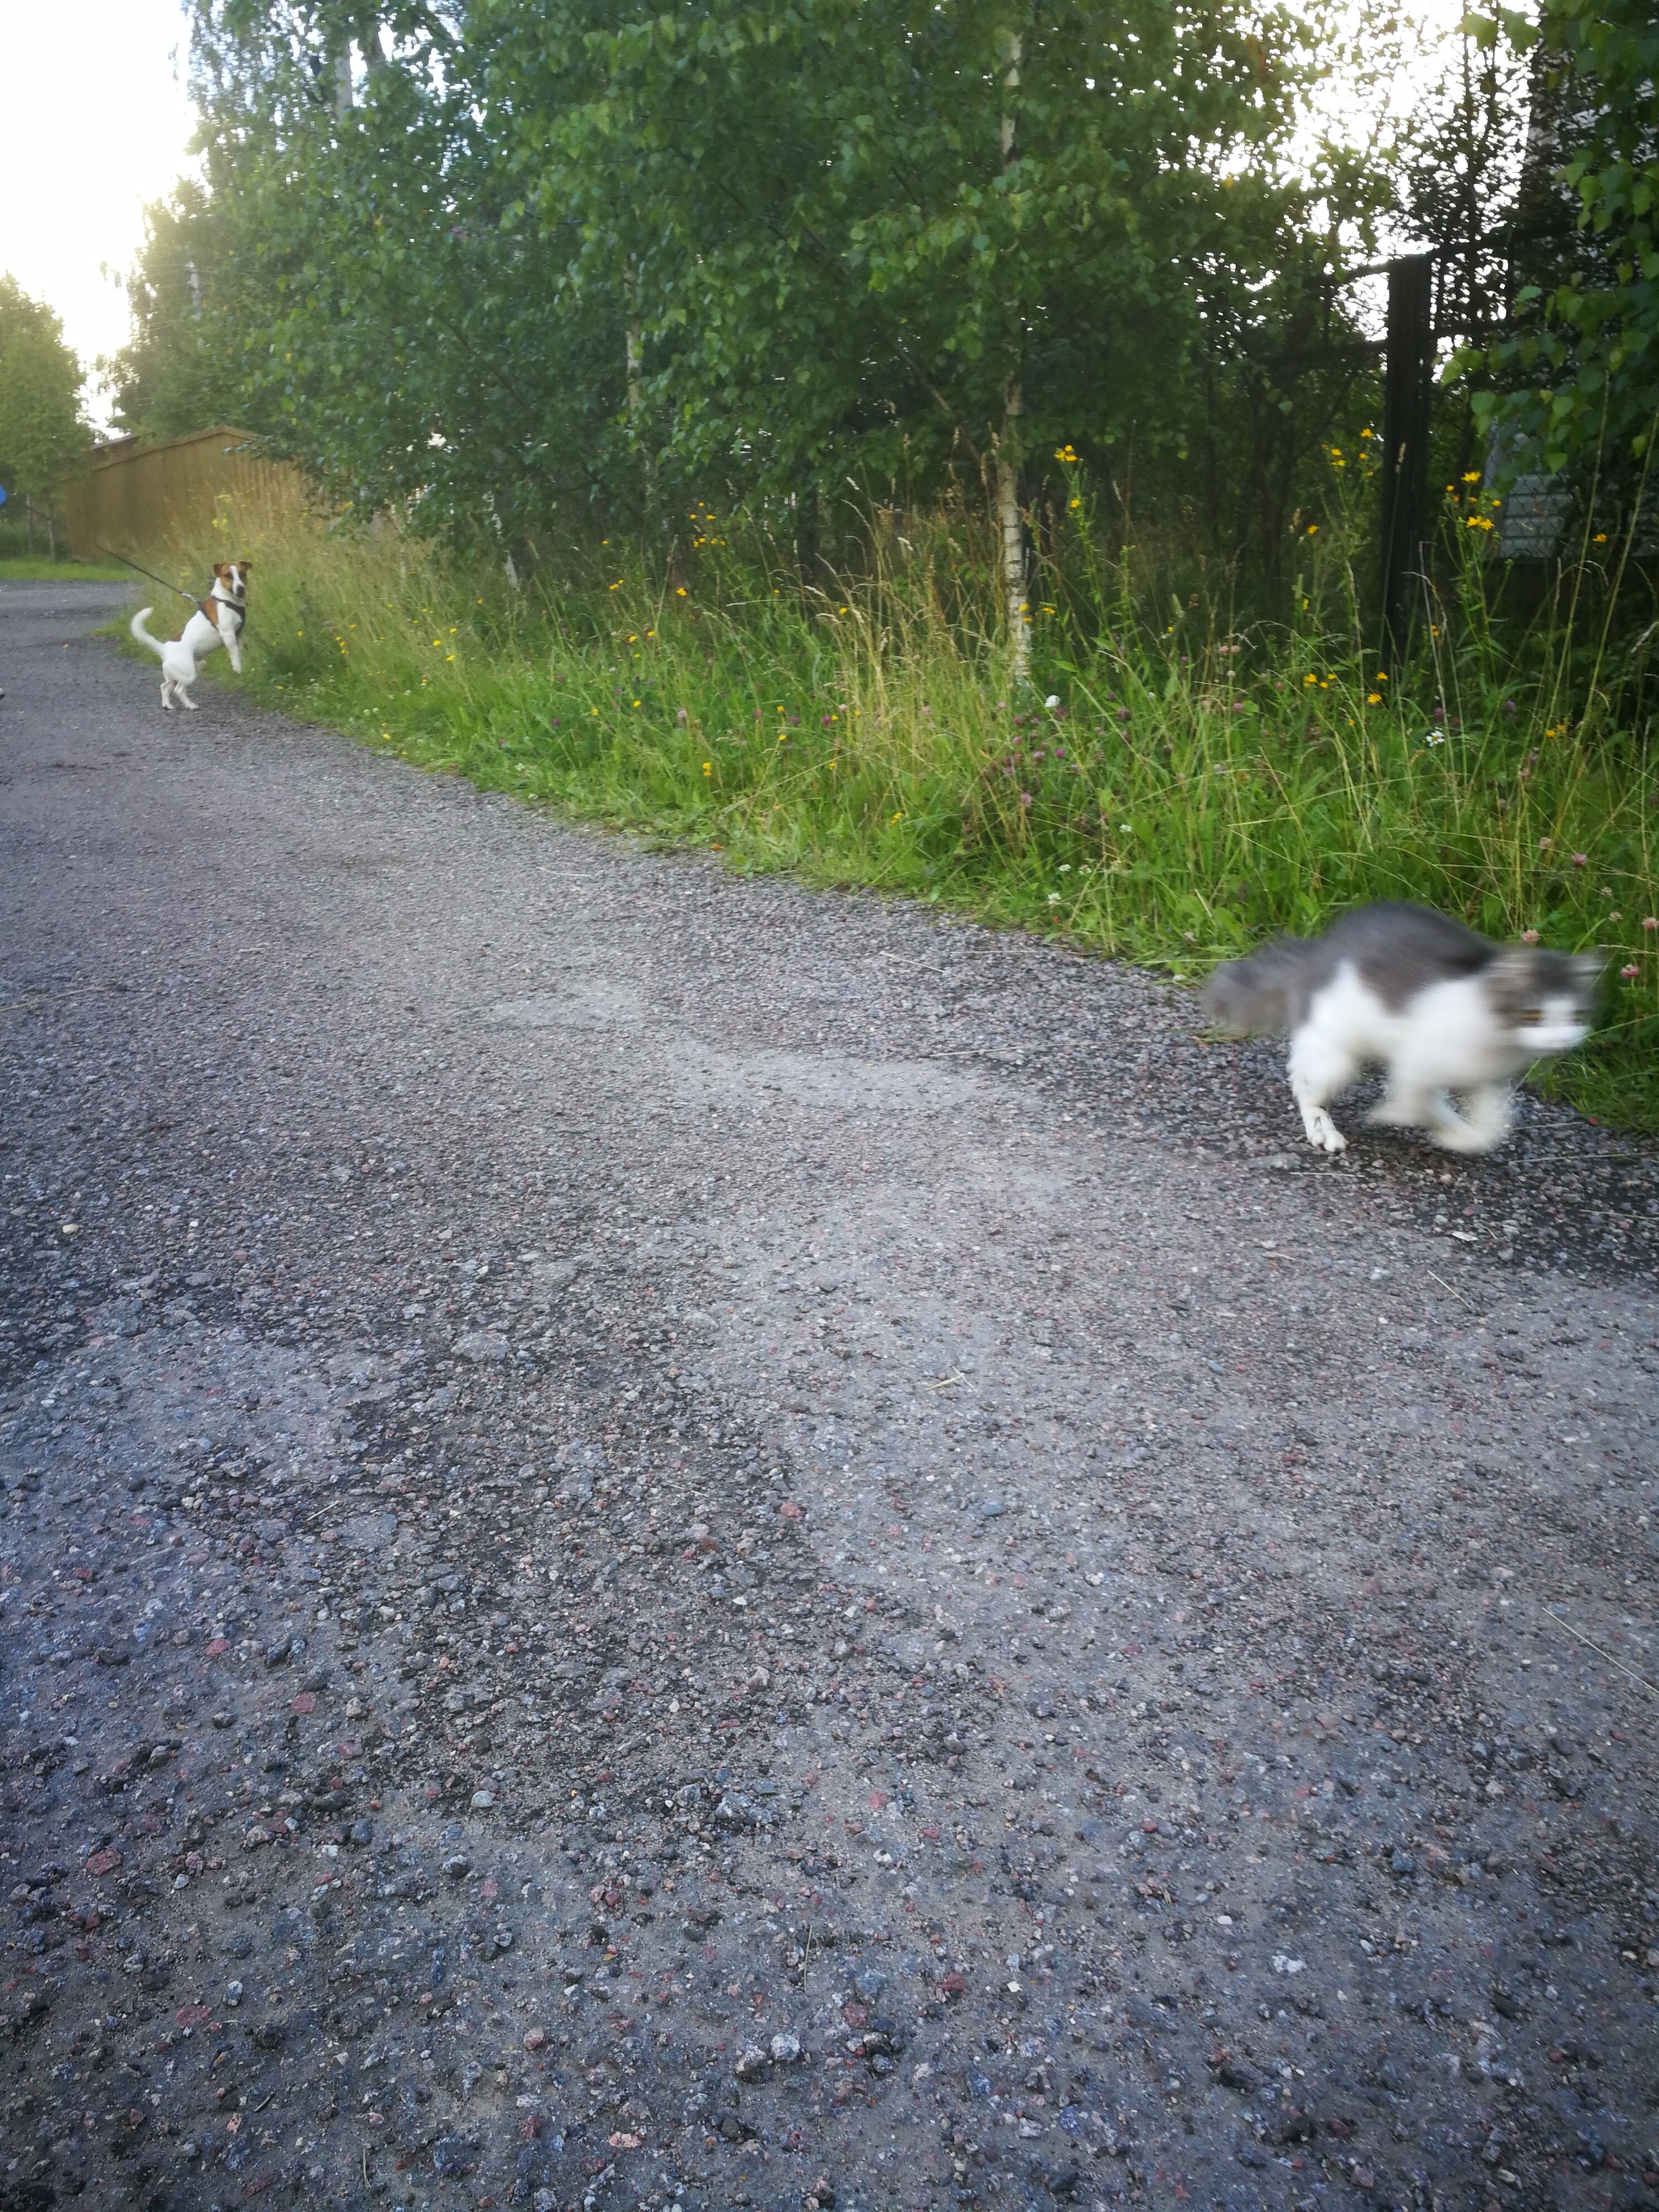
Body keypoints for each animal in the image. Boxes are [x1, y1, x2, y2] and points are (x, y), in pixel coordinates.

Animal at [130, 561, 249, 707]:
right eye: (228, 575)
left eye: (242, 573)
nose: (240, 588)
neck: (226, 600)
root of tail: (164, 649)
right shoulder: (228, 635)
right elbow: (235, 654)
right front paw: (237, 667)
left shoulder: (239, 635)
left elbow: (239, 651)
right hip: (188, 673)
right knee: (178, 690)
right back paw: (191, 706)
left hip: (176, 675)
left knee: (165, 686)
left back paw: (168, 705)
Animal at [1203, 897, 1601, 1159]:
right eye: (1533, 1014)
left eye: (1577, 1015)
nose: (1561, 1040)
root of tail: (1316, 954)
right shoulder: (1416, 1057)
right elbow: (1414, 1101)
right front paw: (1393, 1116)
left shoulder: (1484, 1080)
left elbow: (1489, 1127)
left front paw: (1459, 1136)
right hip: (1333, 1055)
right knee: (1306, 1091)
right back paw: (1325, 1132)